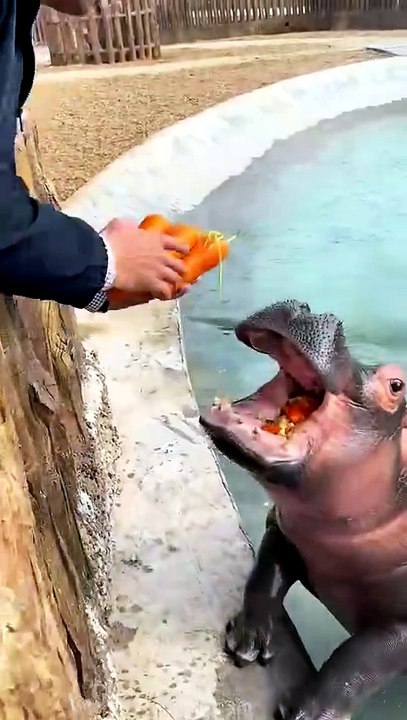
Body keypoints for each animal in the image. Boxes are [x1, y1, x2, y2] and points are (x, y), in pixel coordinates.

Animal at [199, 299, 407, 720]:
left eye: (397, 384)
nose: (305, 309)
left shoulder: (402, 626)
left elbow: (358, 659)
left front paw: (305, 713)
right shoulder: (286, 529)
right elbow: (264, 574)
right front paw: (246, 643)